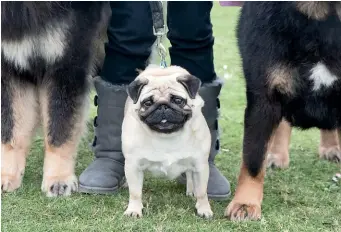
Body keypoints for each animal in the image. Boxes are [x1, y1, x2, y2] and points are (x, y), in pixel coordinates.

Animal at [0, 2, 109, 196]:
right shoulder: (11, 67)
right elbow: (13, 132)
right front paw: (8, 175)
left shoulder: (66, 66)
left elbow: (60, 130)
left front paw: (58, 179)